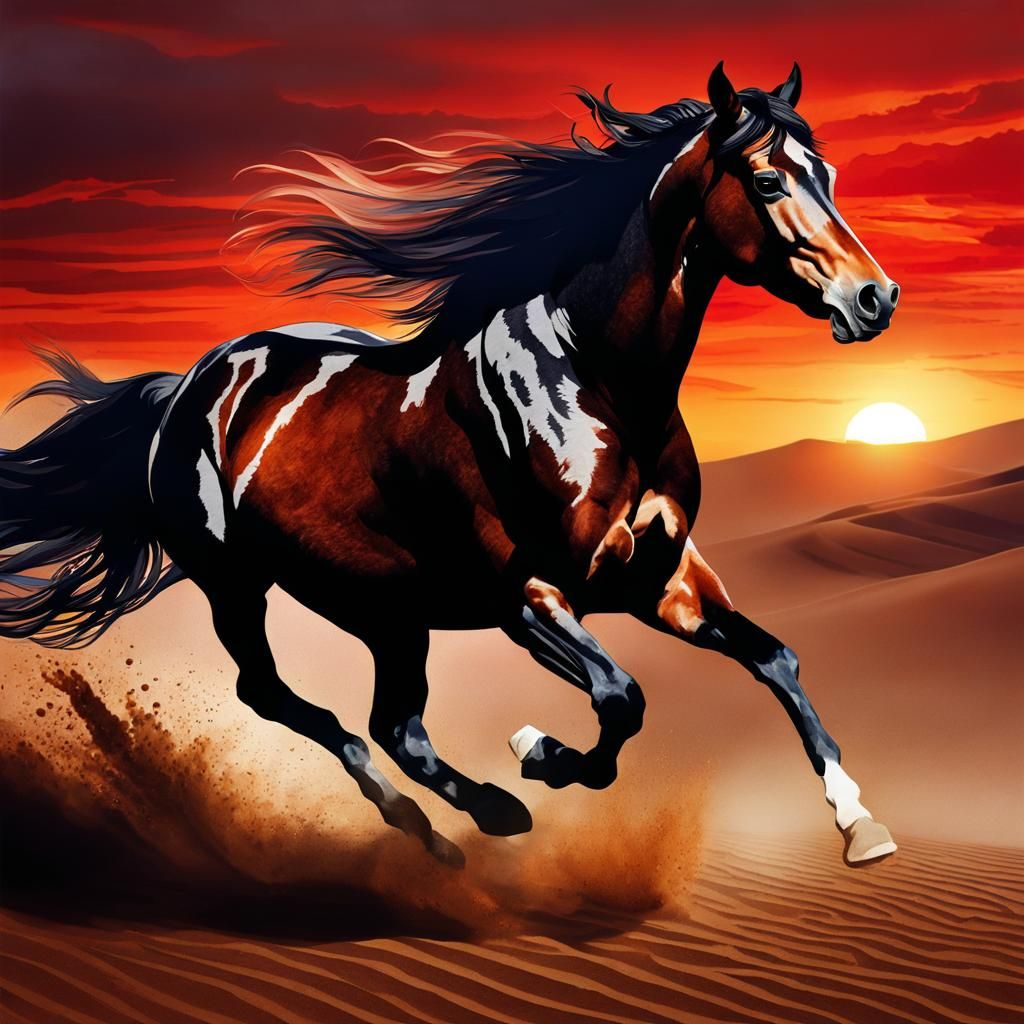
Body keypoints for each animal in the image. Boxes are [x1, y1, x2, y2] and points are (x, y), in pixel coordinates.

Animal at [0, 63, 901, 868]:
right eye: (768, 180)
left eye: (826, 173)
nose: (874, 299)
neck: (595, 379)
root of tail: (190, 384)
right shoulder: (529, 598)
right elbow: (622, 700)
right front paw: (539, 751)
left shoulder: (663, 578)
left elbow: (774, 659)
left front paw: (860, 825)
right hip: (238, 584)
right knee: (280, 698)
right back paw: (457, 820)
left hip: (384, 607)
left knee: (395, 726)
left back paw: (470, 823)